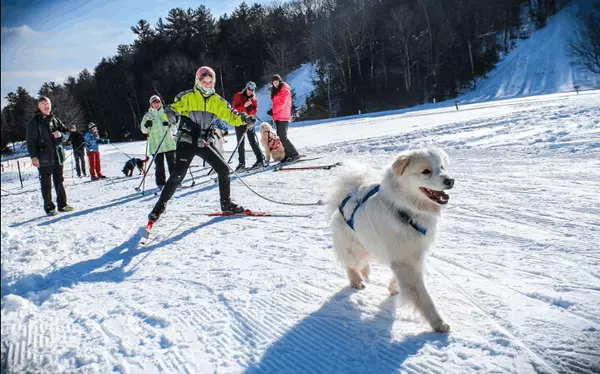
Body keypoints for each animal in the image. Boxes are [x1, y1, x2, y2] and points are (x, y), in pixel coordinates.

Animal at [328, 148, 454, 332]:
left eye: (442, 167)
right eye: (426, 171)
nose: (450, 180)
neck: (405, 211)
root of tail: (345, 198)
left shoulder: (411, 255)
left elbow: (400, 279)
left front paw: (394, 288)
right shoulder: (405, 261)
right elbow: (422, 295)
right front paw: (438, 323)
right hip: (355, 250)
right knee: (350, 265)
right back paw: (357, 282)